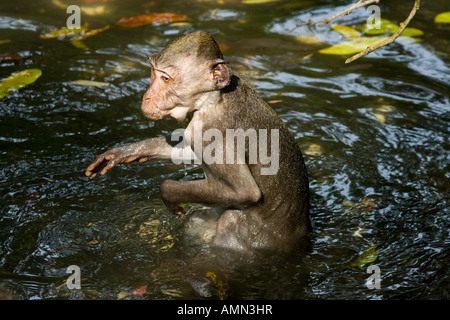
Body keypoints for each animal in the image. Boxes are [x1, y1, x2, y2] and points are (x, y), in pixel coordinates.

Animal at [85, 31, 310, 254]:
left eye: (165, 78)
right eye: (153, 73)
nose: (147, 97)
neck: (215, 97)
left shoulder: (207, 128)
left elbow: (245, 192)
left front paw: (168, 193)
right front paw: (133, 150)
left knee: (230, 219)